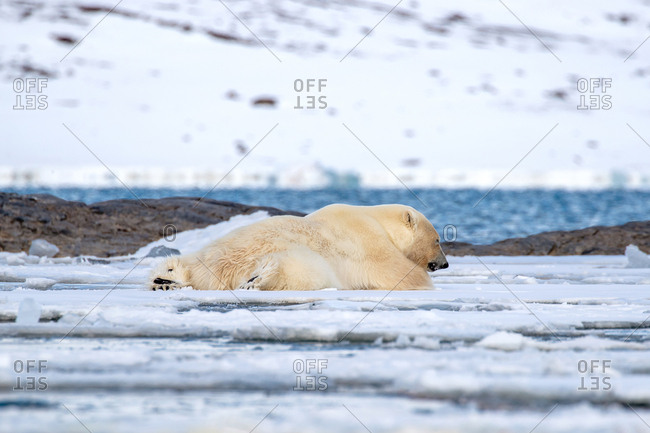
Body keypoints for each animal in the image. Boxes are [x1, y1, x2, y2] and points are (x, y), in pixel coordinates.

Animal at [150, 204, 448, 291]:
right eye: (437, 239)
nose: (445, 263)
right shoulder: (368, 241)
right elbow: (401, 273)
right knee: (298, 269)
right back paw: (258, 280)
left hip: (211, 250)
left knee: (184, 262)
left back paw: (164, 279)